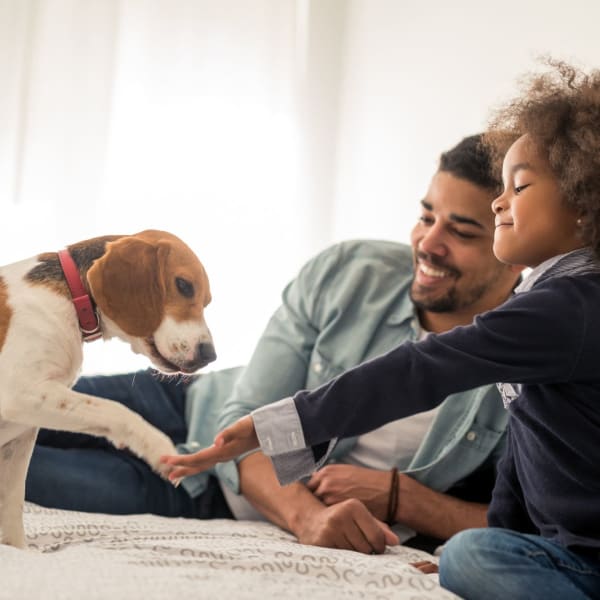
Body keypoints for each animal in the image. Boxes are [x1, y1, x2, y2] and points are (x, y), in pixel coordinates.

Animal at [0, 231, 216, 548]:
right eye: (184, 285)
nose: (210, 355)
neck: (70, 298)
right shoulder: (20, 392)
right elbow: (115, 410)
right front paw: (157, 446)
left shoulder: (23, 433)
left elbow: (12, 505)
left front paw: (20, 550)